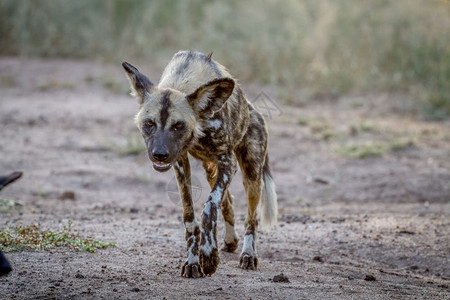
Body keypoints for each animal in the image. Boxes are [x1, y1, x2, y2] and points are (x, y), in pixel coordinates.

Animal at [123, 50, 278, 278]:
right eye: (149, 124)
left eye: (178, 126)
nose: (159, 155)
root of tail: (251, 107)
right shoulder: (180, 162)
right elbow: (190, 217)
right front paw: (193, 261)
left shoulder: (227, 162)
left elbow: (208, 206)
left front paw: (208, 255)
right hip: (212, 171)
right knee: (228, 203)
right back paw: (230, 241)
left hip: (251, 176)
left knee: (251, 218)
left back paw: (248, 254)